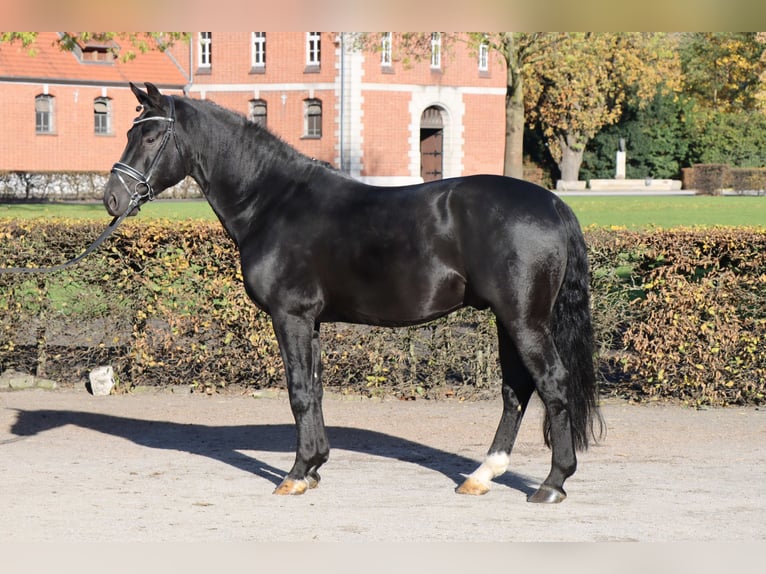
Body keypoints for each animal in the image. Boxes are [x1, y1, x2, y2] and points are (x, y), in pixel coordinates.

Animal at [104, 82, 603, 502]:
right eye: (130, 131)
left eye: (150, 137)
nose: (112, 198)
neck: (273, 201)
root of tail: (553, 203)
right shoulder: (312, 321)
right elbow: (315, 388)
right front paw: (314, 466)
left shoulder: (291, 315)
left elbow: (299, 391)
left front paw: (296, 473)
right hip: (508, 319)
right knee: (516, 388)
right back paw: (482, 475)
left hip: (524, 321)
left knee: (551, 383)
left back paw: (553, 483)